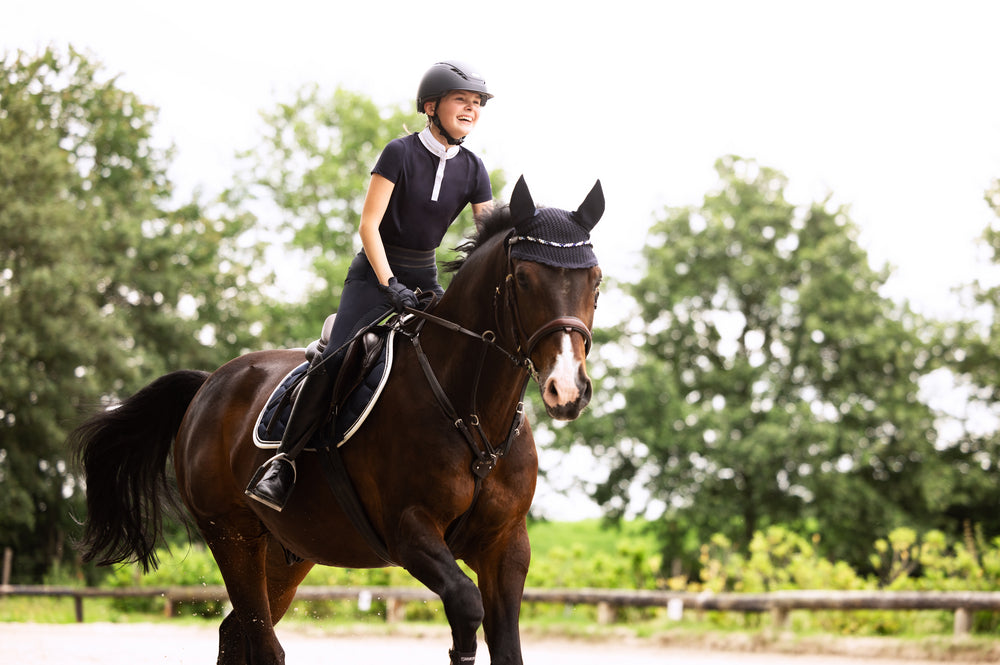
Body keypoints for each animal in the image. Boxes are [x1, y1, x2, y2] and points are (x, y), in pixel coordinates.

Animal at [72, 176, 600, 664]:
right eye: (525, 278)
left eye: (594, 280)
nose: (567, 390)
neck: (471, 414)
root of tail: (209, 385)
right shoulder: (410, 533)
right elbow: (466, 607)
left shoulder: (505, 546)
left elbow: (505, 644)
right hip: (232, 535)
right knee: (262, 643)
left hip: (288, 551)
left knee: (234, 633)